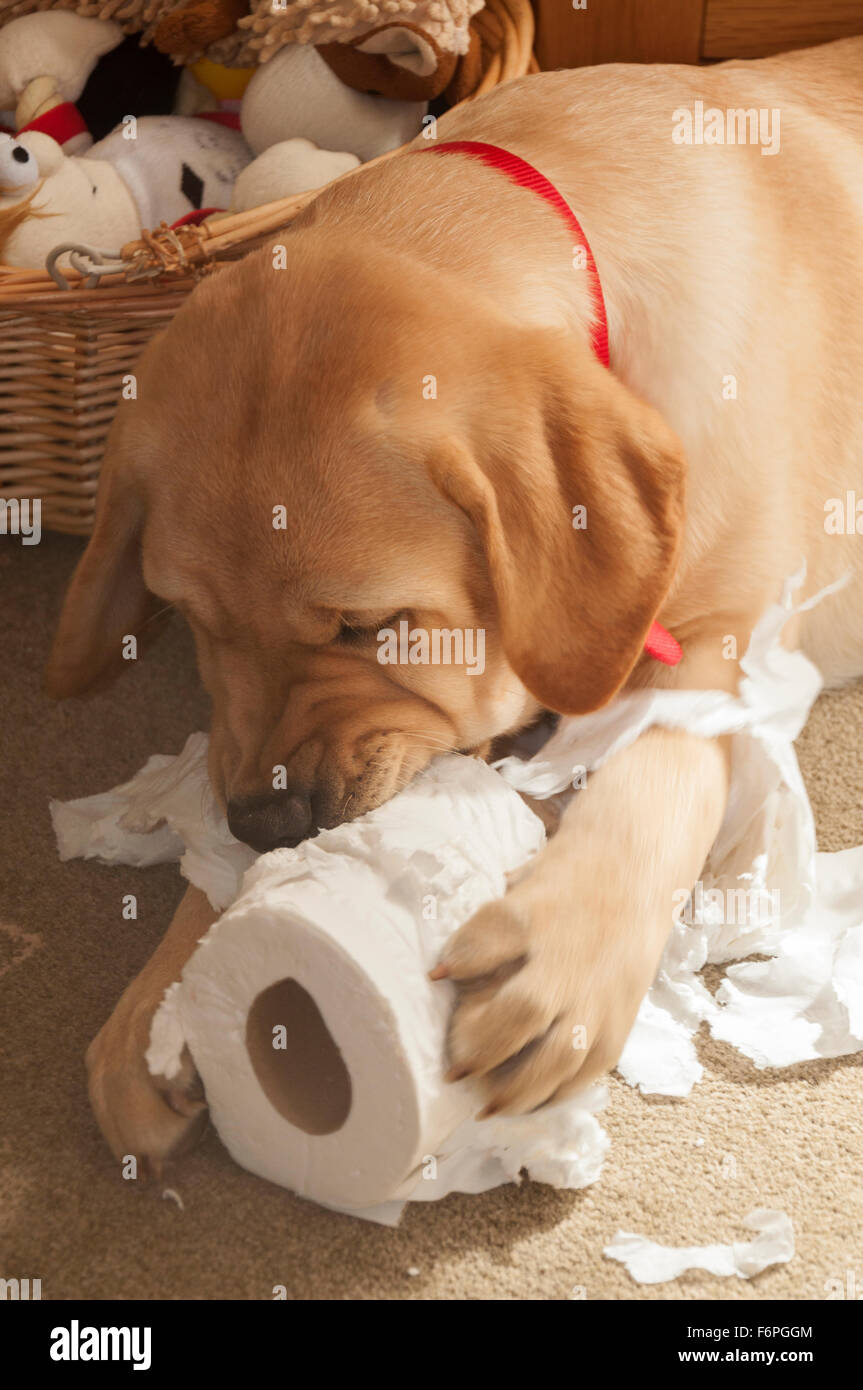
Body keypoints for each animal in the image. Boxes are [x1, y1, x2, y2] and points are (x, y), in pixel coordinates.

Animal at [47, 40, 861, 1173]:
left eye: (373, 626)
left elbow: (653, 771)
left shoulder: (737, 636)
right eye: (199, 624)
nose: (266, 820)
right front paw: (166, 985)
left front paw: (560, 951)